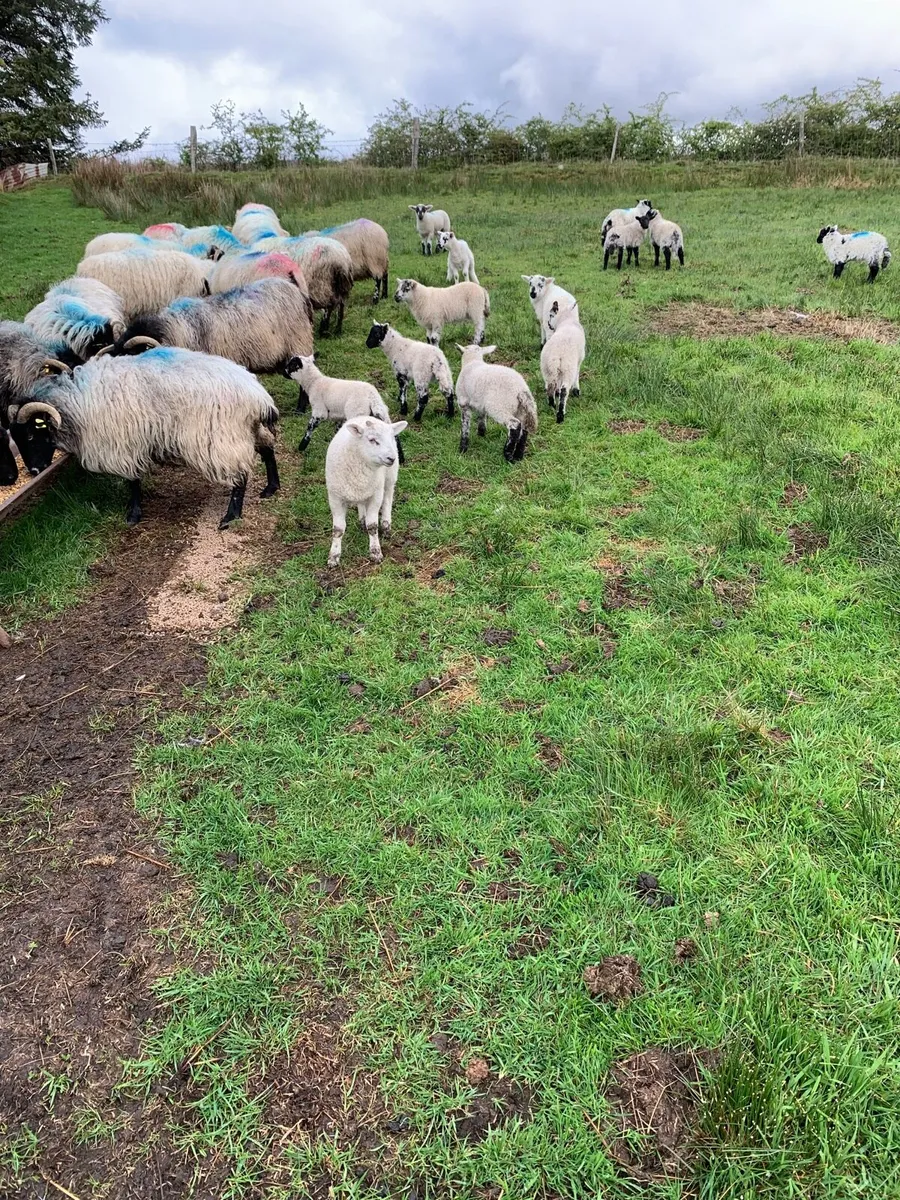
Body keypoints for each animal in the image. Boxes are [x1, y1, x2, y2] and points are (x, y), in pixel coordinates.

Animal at [8, 348, 280, 528]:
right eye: (17, 438)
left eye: (32, 434)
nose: (33, 470)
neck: (77, 403)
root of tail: (258, 397)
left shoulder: (124, 444)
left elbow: (133, 481)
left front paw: (133, 514)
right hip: (247, 430)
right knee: (267, 450)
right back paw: (271, 488)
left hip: (222, 436)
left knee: (240, 475)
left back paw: (231, 516)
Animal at [324, 415, 407, 567]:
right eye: (372, 440)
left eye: (391, 438)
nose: (391, 458)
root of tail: (365, 416)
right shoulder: (335, 497)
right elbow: (338, 529)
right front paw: (334, 556)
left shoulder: (376, 495)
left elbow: (372, 526)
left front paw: (375, 552)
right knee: (362, 503)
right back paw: (362, 519)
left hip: (390, 477)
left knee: (388, 498)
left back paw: (386, 525)